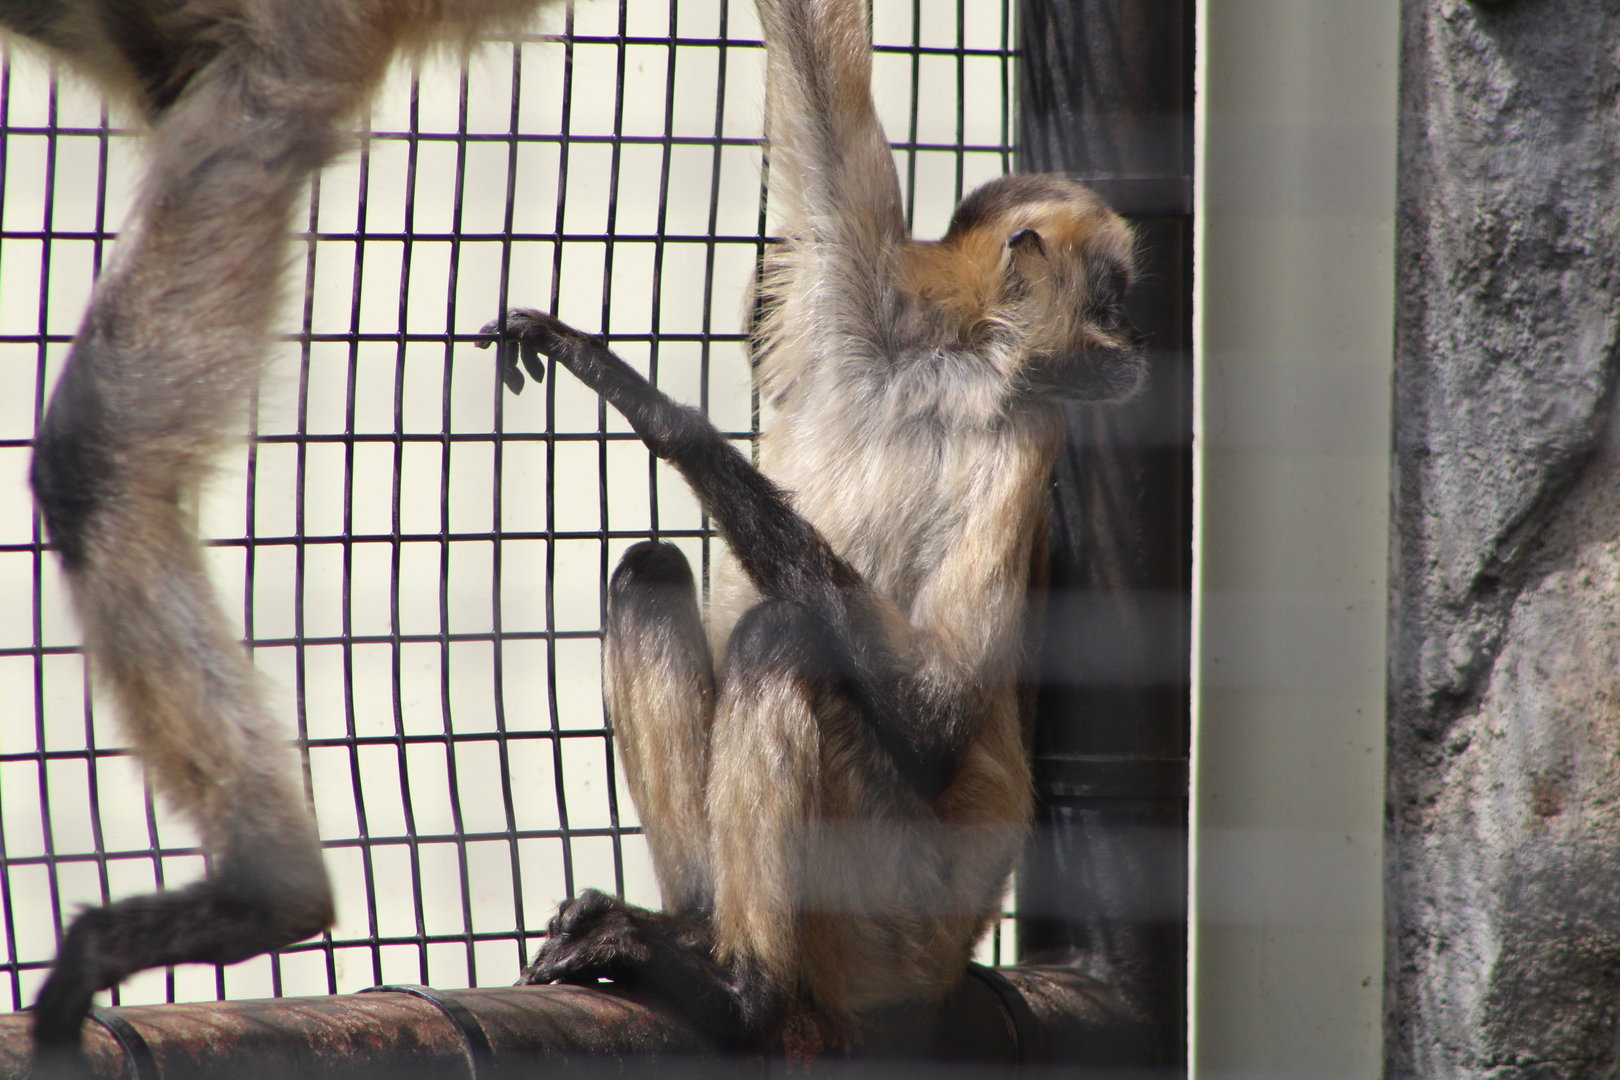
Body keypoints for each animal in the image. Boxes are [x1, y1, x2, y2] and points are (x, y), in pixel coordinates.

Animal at [478, 0, 1144, 1049]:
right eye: (1112, 297)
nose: (1132, 345)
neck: (949, 358)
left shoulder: (1031, 429)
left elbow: (937, 724)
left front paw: (657, 411)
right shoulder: (856, 287)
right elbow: (810, 53)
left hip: (899, 903)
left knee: (782, 638)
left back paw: (744, 989)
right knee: (652, 573)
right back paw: (700, 934)